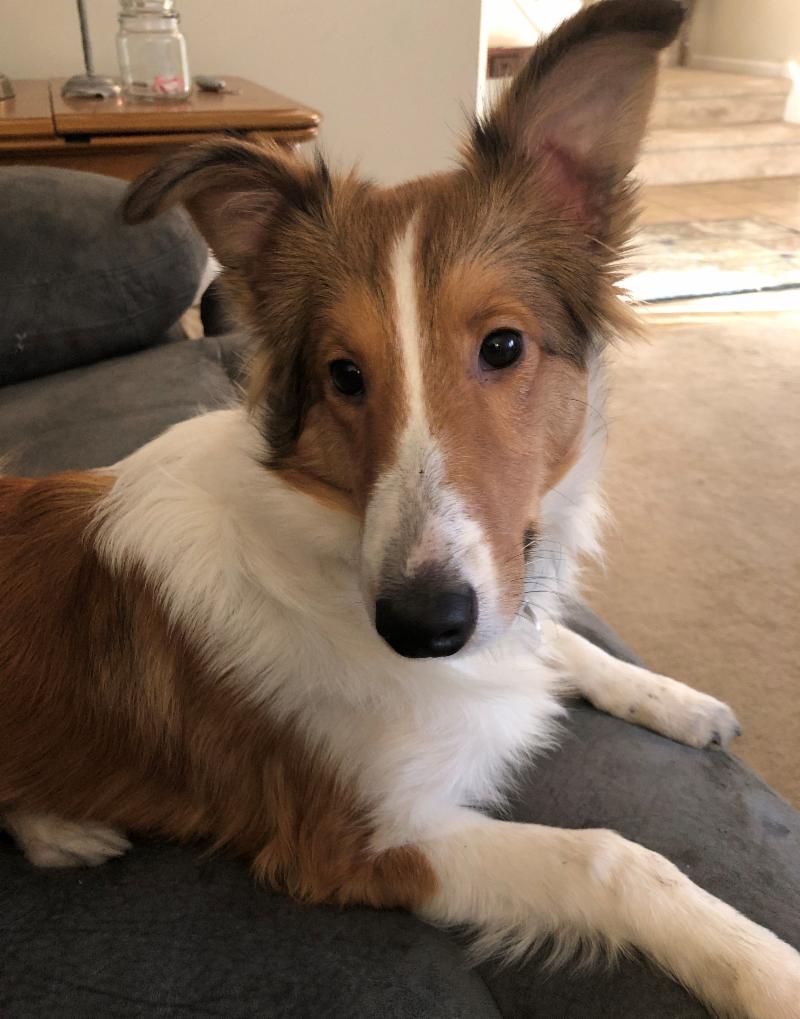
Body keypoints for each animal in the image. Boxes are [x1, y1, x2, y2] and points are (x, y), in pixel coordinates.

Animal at [2, 2, 799, 1015]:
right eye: (344, 375)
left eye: (503, 345)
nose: (424, 627)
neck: (331, 546)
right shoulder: (366, 838)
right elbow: (611, 858)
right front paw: (764, 967)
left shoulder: (502, 597)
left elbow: (568, 640)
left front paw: (679, 700)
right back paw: (62, 826)